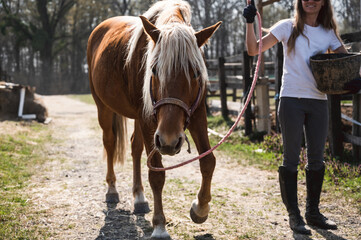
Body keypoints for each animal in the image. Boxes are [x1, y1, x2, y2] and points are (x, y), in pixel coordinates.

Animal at [87, 0, 221, 238]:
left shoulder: (197, 114)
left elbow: (208, 161)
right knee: (110, 143)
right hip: (104, 107)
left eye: (196, 73)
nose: (169, 141)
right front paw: (159, 226)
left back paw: (139, 198)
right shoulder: (148, 121)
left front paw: (200, 208)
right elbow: (156, 175)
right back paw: (112, 189)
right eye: (155, 70)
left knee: (135, 147)